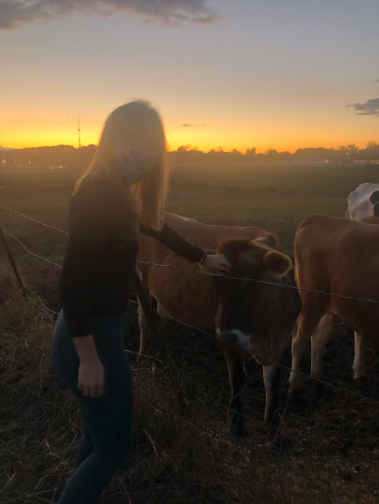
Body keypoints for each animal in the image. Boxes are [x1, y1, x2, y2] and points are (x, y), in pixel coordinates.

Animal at [138, 211, 302, 436]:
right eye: (216, 283)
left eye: (254, 283)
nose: (224, 335)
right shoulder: (232, 340)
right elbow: (238, 377)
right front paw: (237, 423)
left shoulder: (281, 339)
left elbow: (272, 380)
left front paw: (272, 425)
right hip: (142, 281)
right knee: (143, 322)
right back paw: (142, 358)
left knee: (159, 323)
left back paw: (165, 363)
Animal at [290, 214, 379, 394]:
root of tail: (318, 219)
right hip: (311, 303)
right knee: (298, 339)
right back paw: (294, 386)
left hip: (336, 306)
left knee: (318, 336)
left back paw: (318, 380)